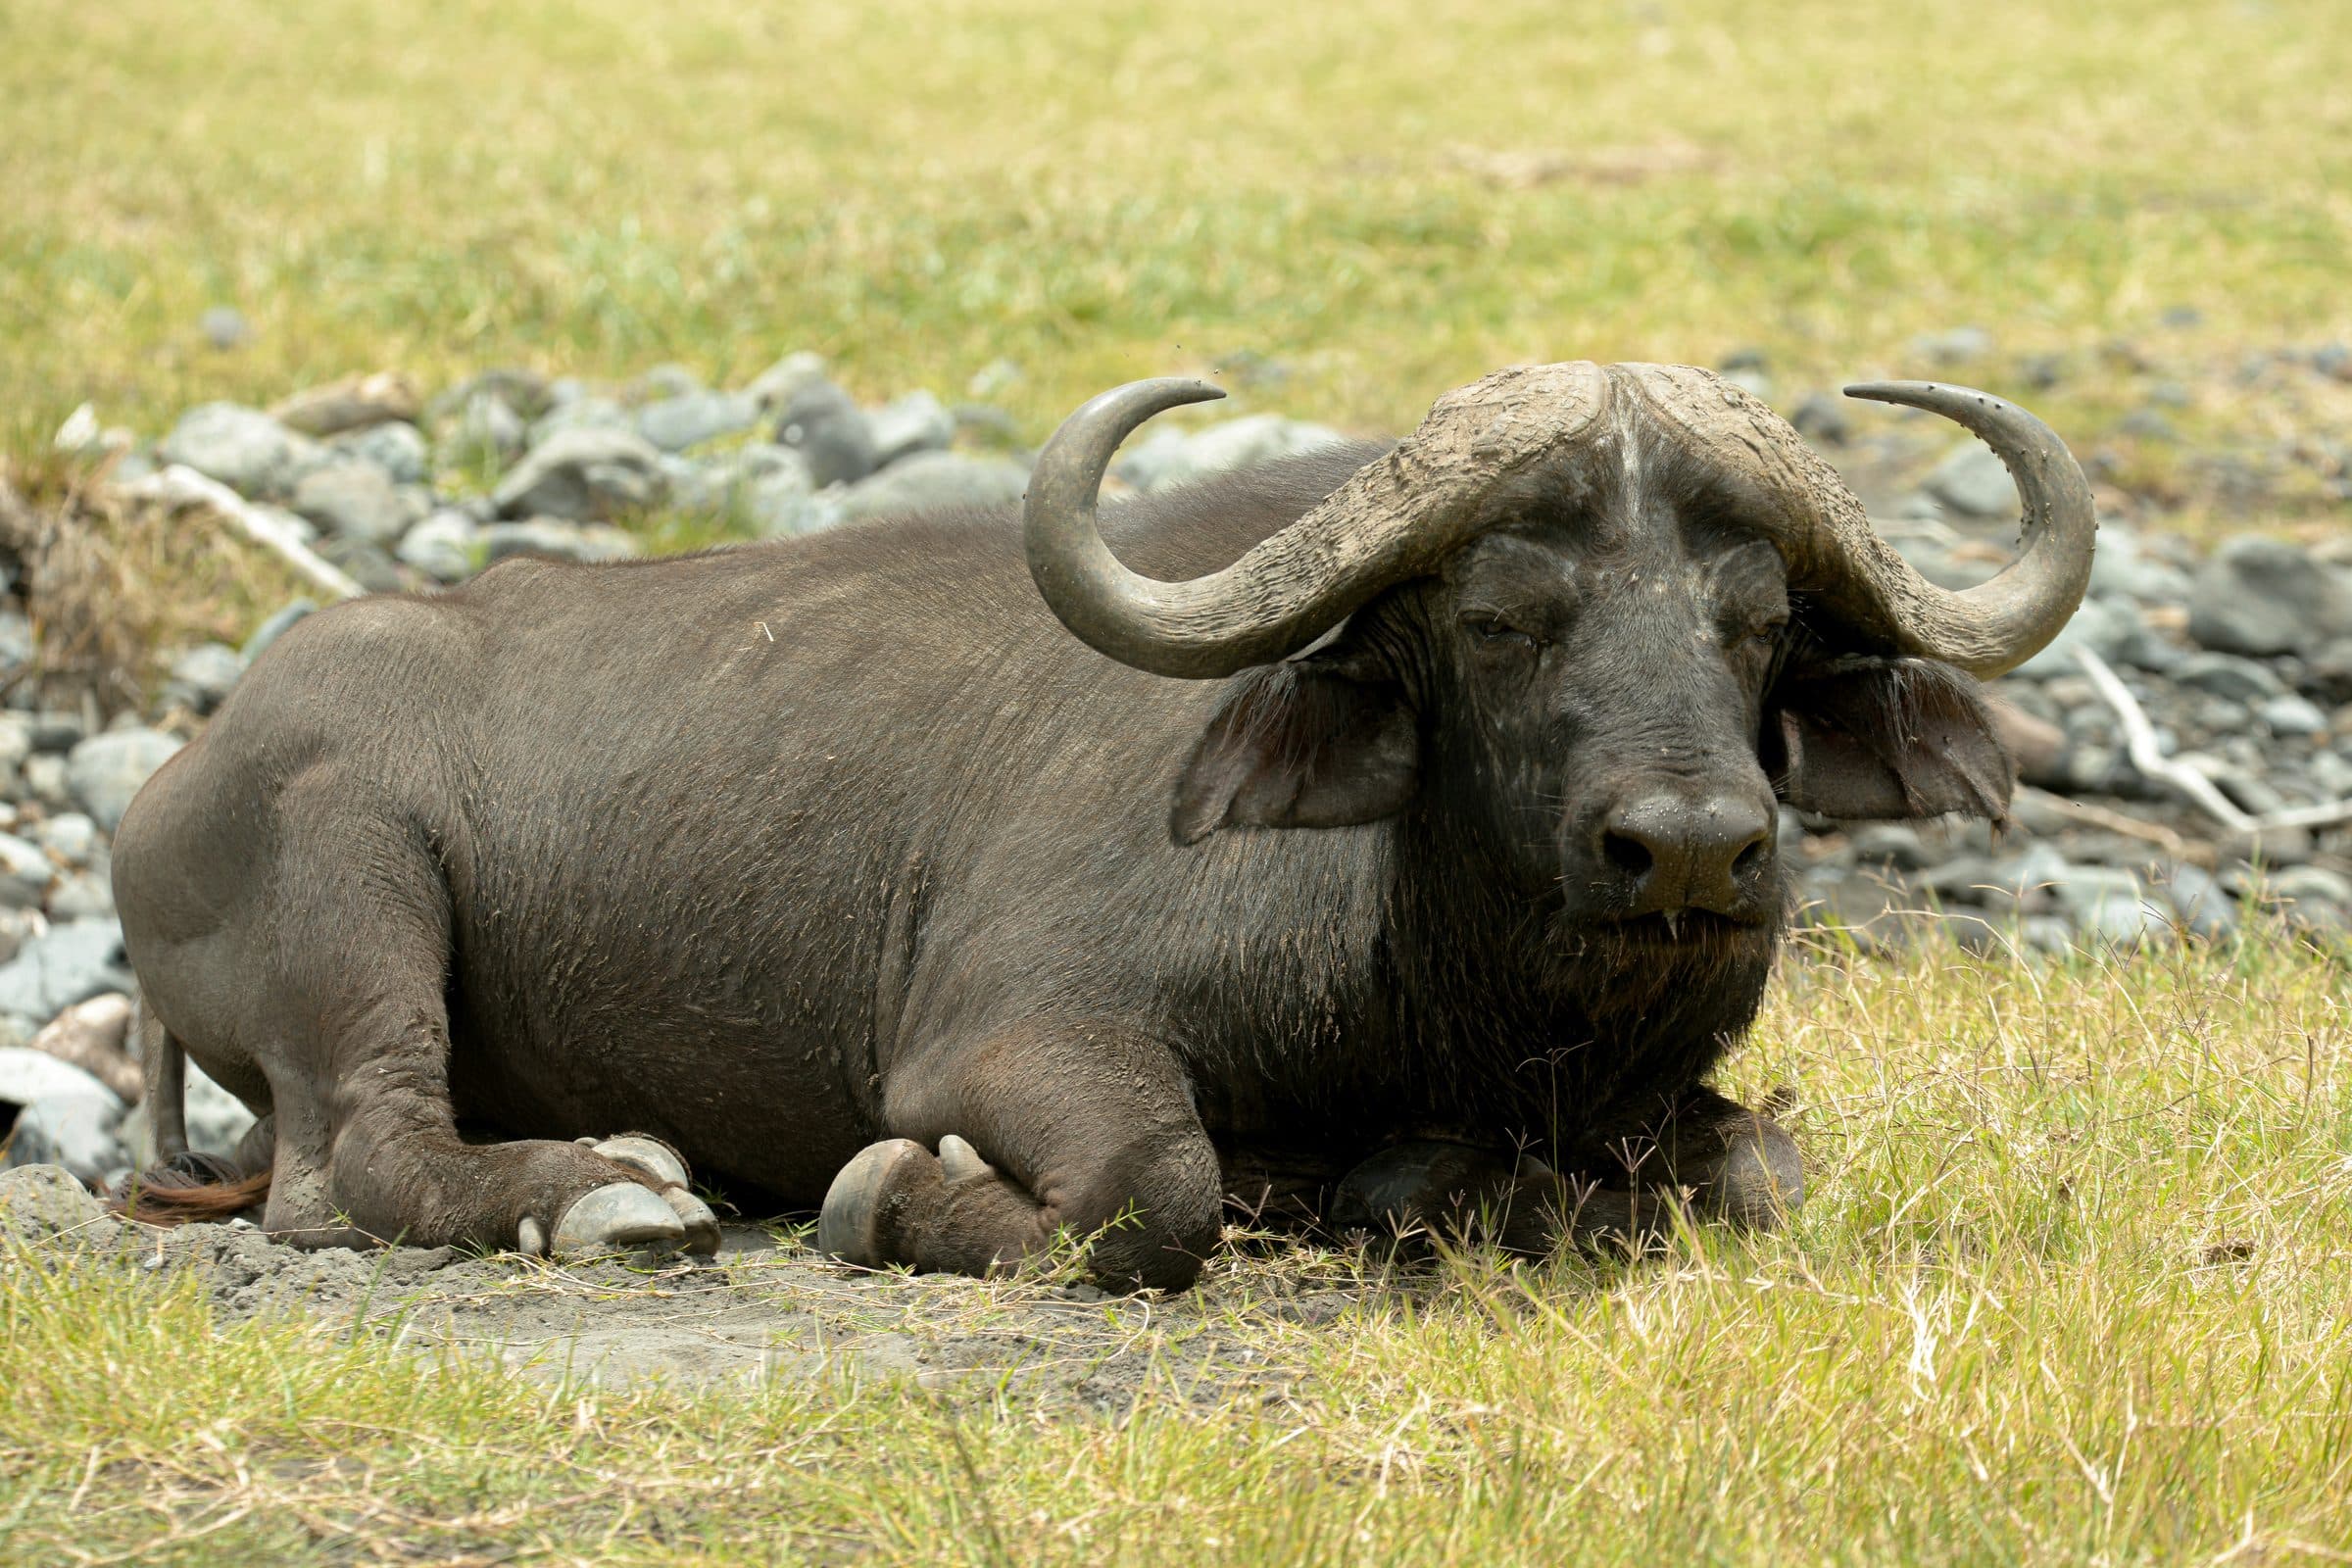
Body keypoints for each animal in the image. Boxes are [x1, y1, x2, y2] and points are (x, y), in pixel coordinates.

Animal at [113, 362, 2093, 1290]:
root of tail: (175, 784)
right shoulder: (1004, 1038)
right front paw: (884, 1199)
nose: (1690, 846)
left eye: (1756, 619)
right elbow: (1154, 1189)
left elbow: (1766, 1175)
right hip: (356, 882)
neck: (1433, 990)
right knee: (355, 1164)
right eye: (1498, 616)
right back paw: (615, 1192)